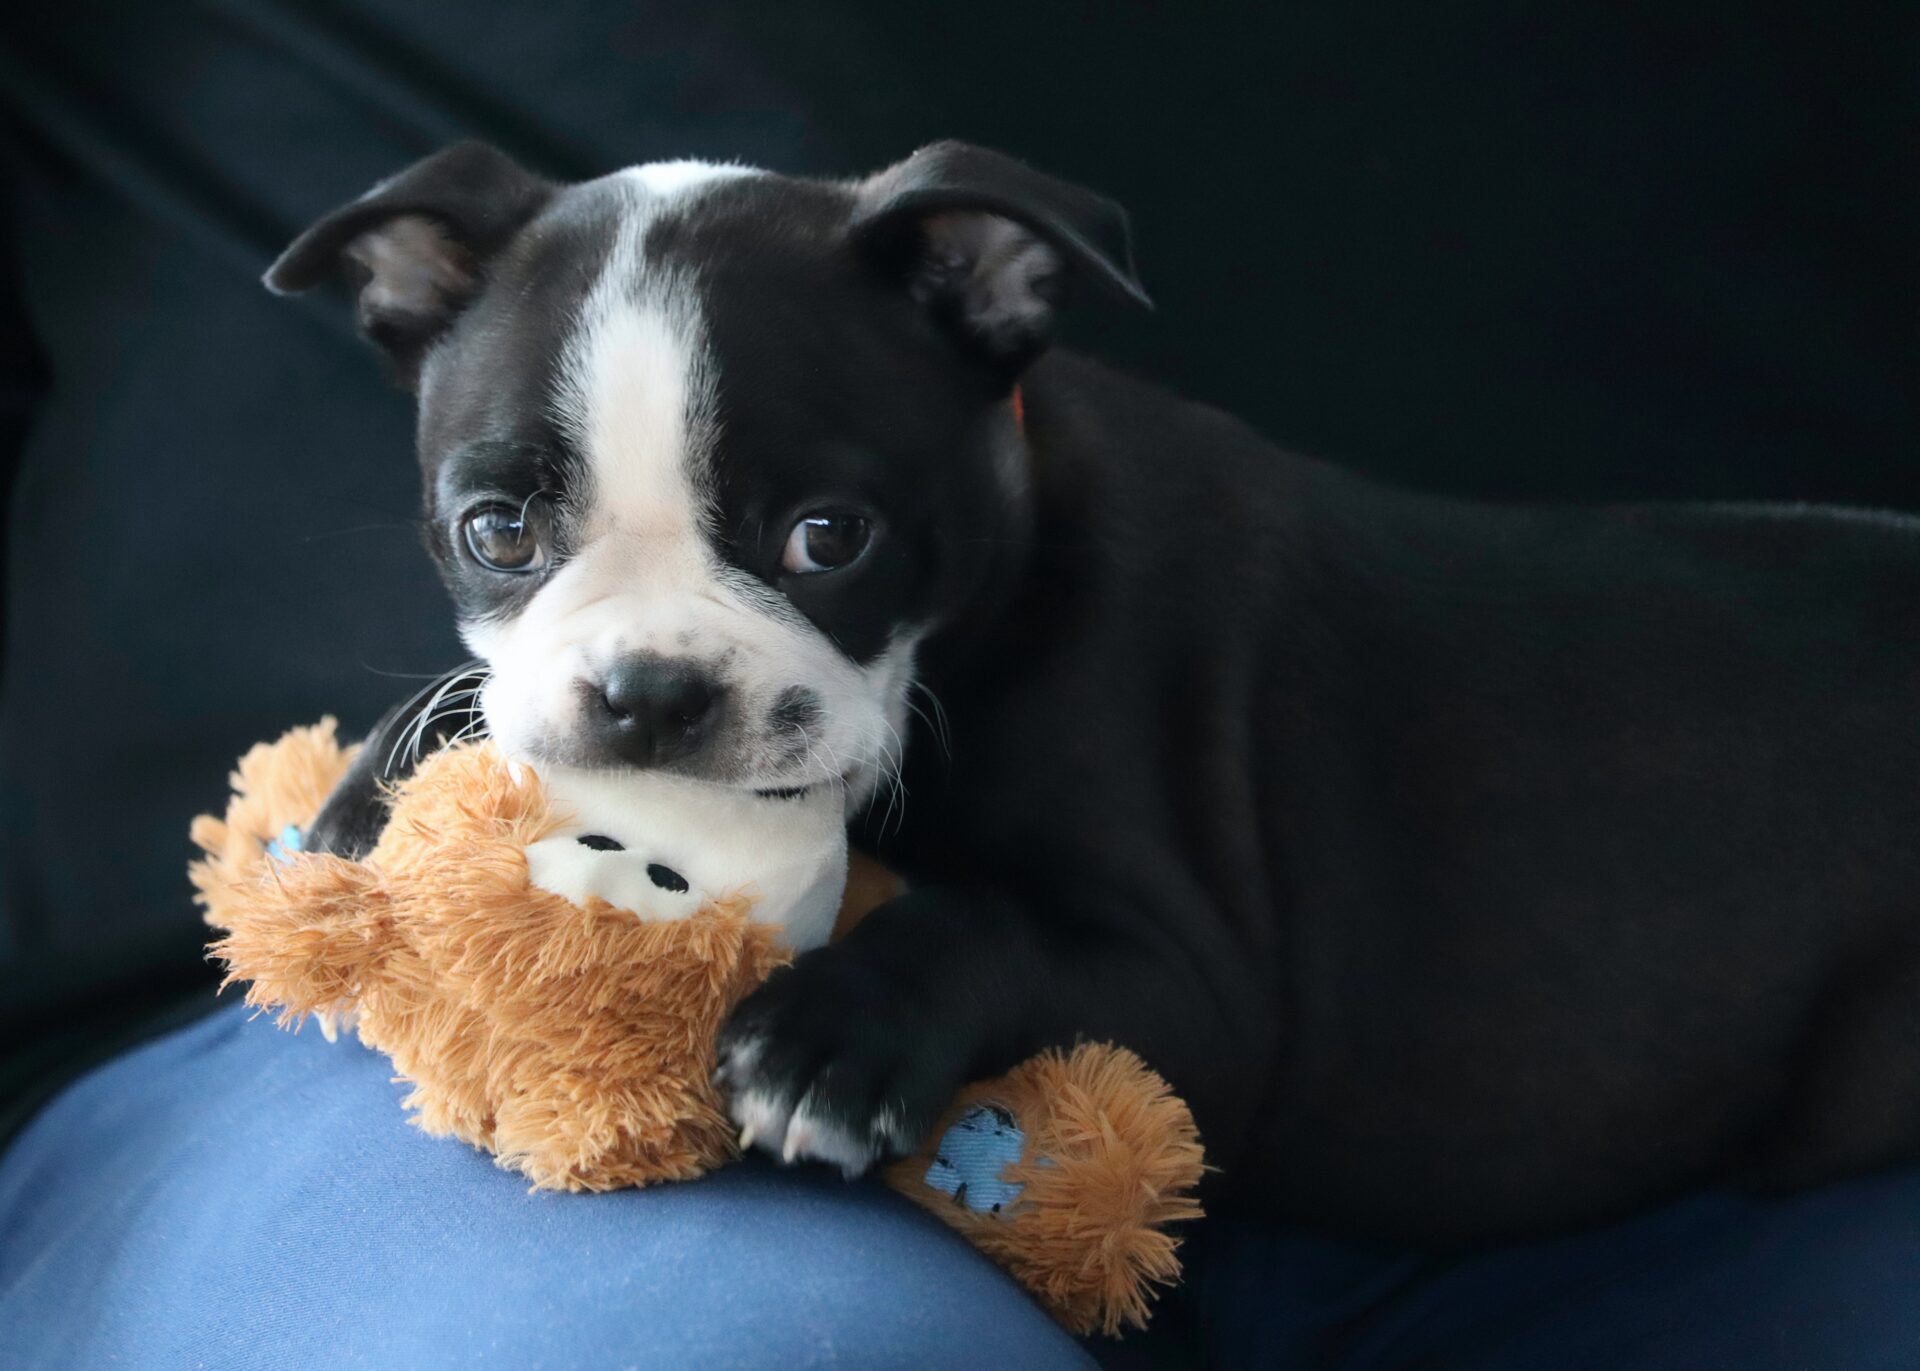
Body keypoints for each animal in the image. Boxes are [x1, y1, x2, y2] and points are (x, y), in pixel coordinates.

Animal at [266, 139, 1920, 1236]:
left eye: (829, 537)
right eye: (498, 532)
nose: (650, 692)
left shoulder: (1209, 997)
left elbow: (985, 919)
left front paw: (826, 1040)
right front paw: (368, 794)